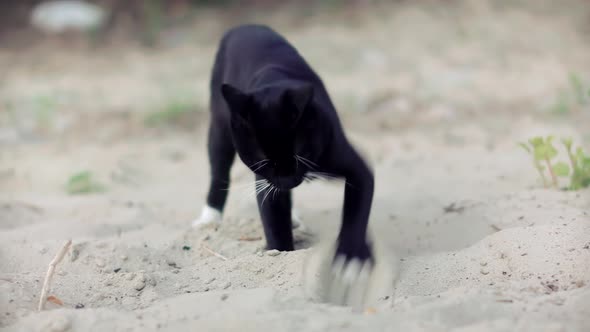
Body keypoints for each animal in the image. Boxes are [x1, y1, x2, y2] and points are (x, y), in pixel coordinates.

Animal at [197, 24, 376, 264]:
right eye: (263, 158)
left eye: (300, 152)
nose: (287, 178)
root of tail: (245, 26)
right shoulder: (266, 184)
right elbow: (275, 227)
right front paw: (281, 252)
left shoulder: (356, 168)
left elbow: (355, 214)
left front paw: (350, 258)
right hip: (219, 130)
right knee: (219, 171)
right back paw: (209, 218)